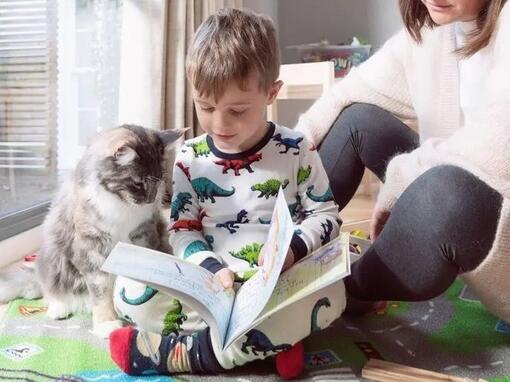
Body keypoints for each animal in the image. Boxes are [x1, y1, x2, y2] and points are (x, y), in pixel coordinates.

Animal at [0, 124, 183, 338]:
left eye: (159, 180)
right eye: (138, 183)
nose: (151, 199)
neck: (121, 205)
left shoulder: (144, 233)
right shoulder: (92, 248)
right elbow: (101, 293)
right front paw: (107, 324)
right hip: (53, 256)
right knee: (51, 290)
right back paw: (58, 309)